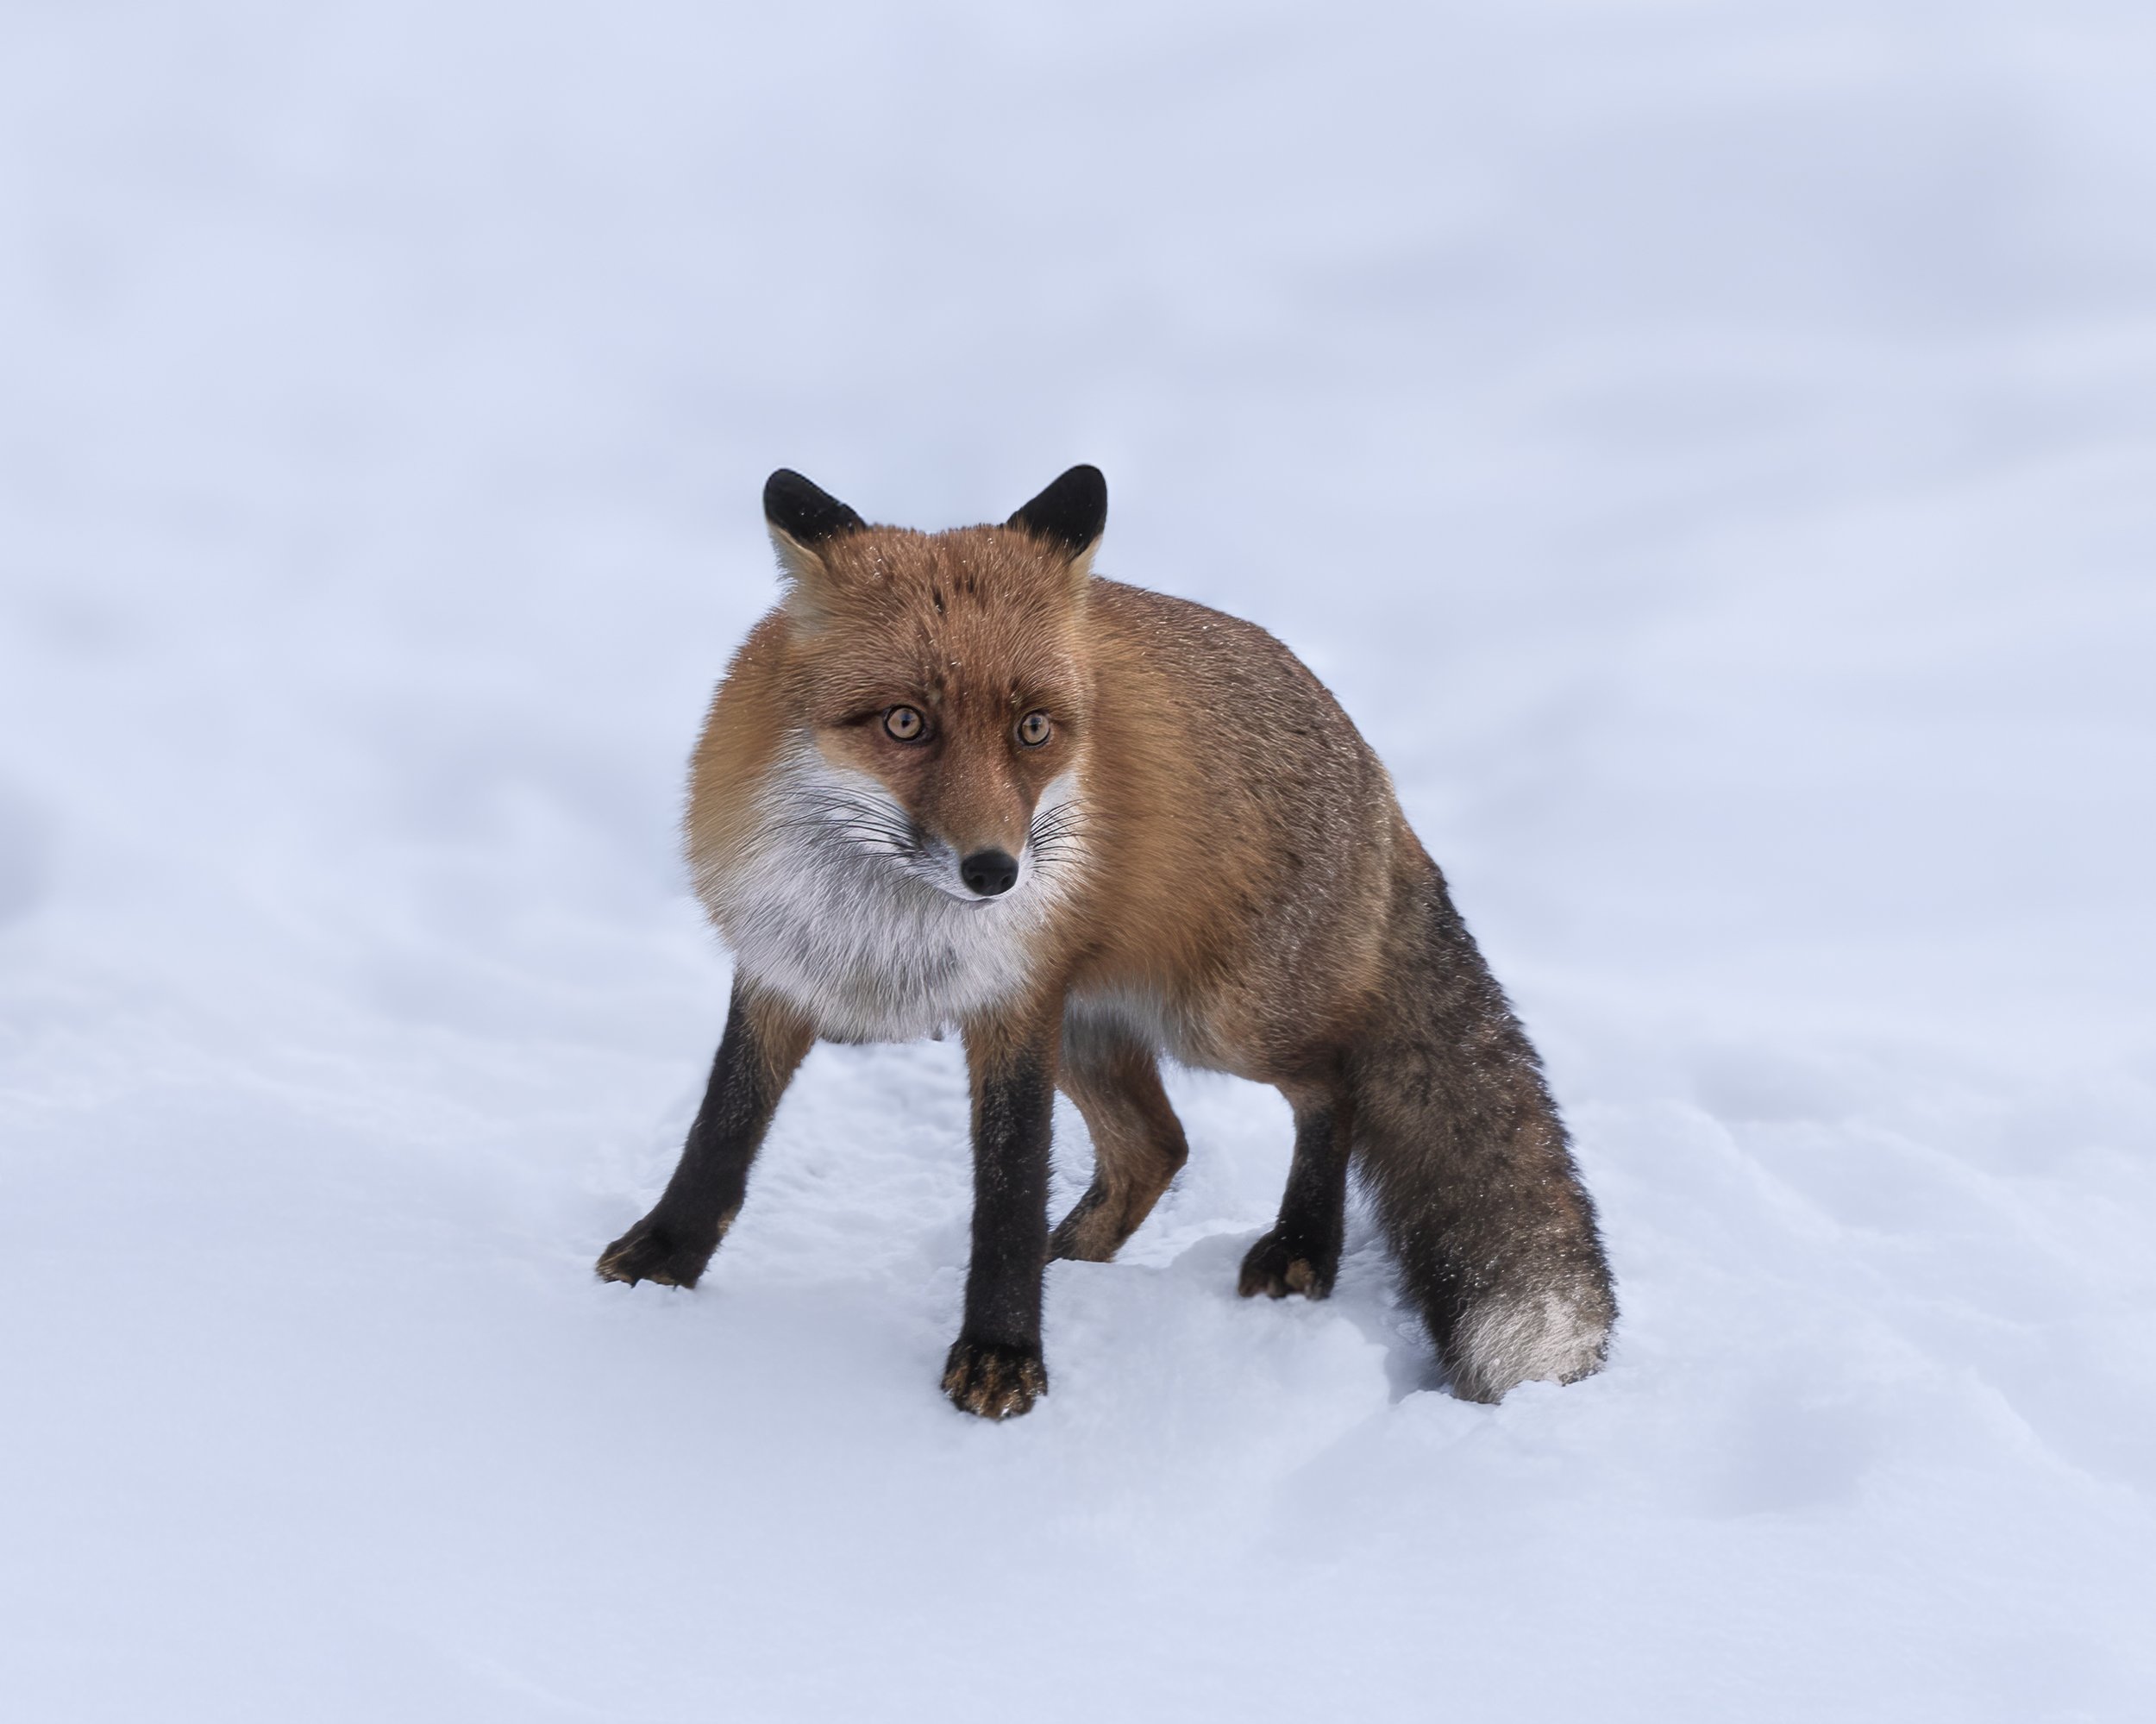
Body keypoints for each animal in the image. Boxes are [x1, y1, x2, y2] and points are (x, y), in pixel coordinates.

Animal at [597, 465, 1616, 1420]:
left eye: (1033, 728)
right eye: (905, 722)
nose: (996, 872)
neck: (886, 932)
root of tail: (1375, 769)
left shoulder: (1014, 1006)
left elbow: (1008, 1192)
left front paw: (1002, 1353)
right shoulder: (784, 965)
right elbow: (720, 1133)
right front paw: (662, 1260)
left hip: (1225, 1021)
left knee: (1336, 1083)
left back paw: (1301, 1250)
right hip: (1092, 1030)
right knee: (1157, 1148)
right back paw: (1078, 1258)